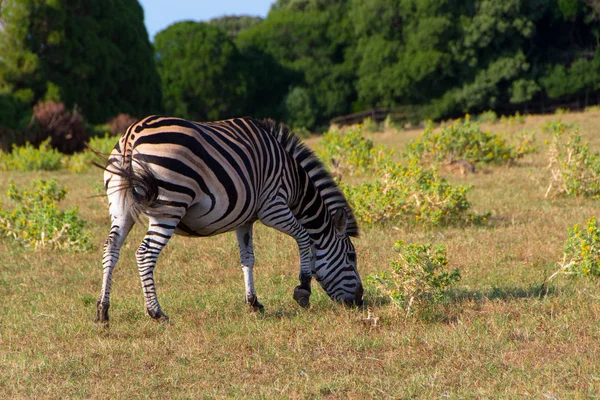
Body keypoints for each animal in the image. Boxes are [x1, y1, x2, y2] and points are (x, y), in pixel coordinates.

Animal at [96, 114, 364, 324]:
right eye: (351, 257)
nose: (360, 300)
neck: (294, 180)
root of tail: (132, 134)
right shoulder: (273, 207)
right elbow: (304, 237)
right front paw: (303, 290)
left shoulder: (245, 219)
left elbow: (248, 258)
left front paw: (253, 302)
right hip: (170, 203)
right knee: (145, 254)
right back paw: (157, 313)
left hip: (121, 205)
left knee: (111, 248)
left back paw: (103, 311)